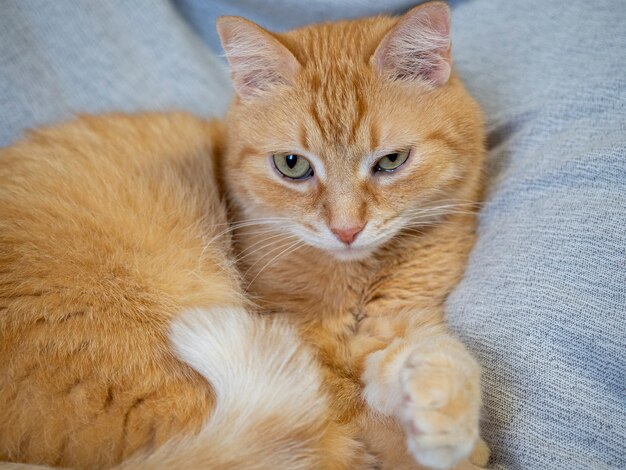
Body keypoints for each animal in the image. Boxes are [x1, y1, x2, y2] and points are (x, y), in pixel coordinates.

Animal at [0, 1, 488, 468]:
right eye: (292, 165)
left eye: (391, 161)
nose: (346, 229)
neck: (359, 276)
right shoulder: (296, 338)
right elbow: (357, 411)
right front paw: (445, 451)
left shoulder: (404, 315)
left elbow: (440, 353)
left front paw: (443, 411)